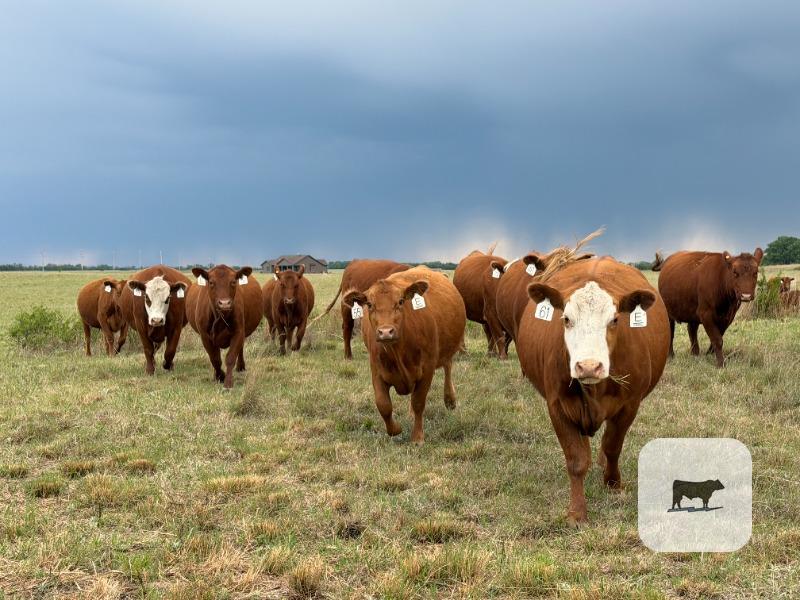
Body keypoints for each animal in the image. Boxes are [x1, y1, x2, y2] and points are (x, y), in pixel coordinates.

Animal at [342, 266, 466, 444]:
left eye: (400, 302)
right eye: (370, 304)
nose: (385, 332)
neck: (397, 352)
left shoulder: (427, 368)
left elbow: (418, 402)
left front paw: (417, 437)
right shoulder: (376, 369)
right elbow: (383, 404)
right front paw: (395, 429)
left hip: (447, 347)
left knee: (448, 366)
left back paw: (450, 400)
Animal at [517, 257, 670, 525]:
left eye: (615, 319)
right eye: (566, 319)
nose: (589, 366)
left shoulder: (629, 405)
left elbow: (612, 446)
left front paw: (613, 483)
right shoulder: (557, 407)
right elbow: (577, 460)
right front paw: (577, 512)